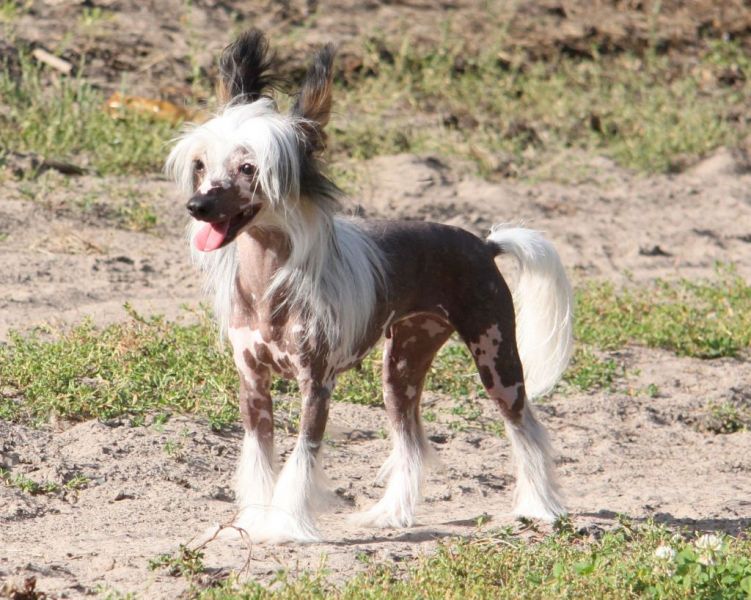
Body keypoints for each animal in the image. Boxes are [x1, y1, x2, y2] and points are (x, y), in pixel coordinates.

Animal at [166, 29, 574, 543]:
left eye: (248, 169)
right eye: (201, 165)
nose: (197, 206)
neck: (268, 288)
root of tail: (484, 244)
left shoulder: (316, 386)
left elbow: (301, 457)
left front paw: (286, 525)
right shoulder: (253, 384)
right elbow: (260, 457)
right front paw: (256, 520)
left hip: (496, 357)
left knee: (524, 428)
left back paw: (540, 508)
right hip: (401, 367)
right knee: (411, 440)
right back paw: (390, 514)